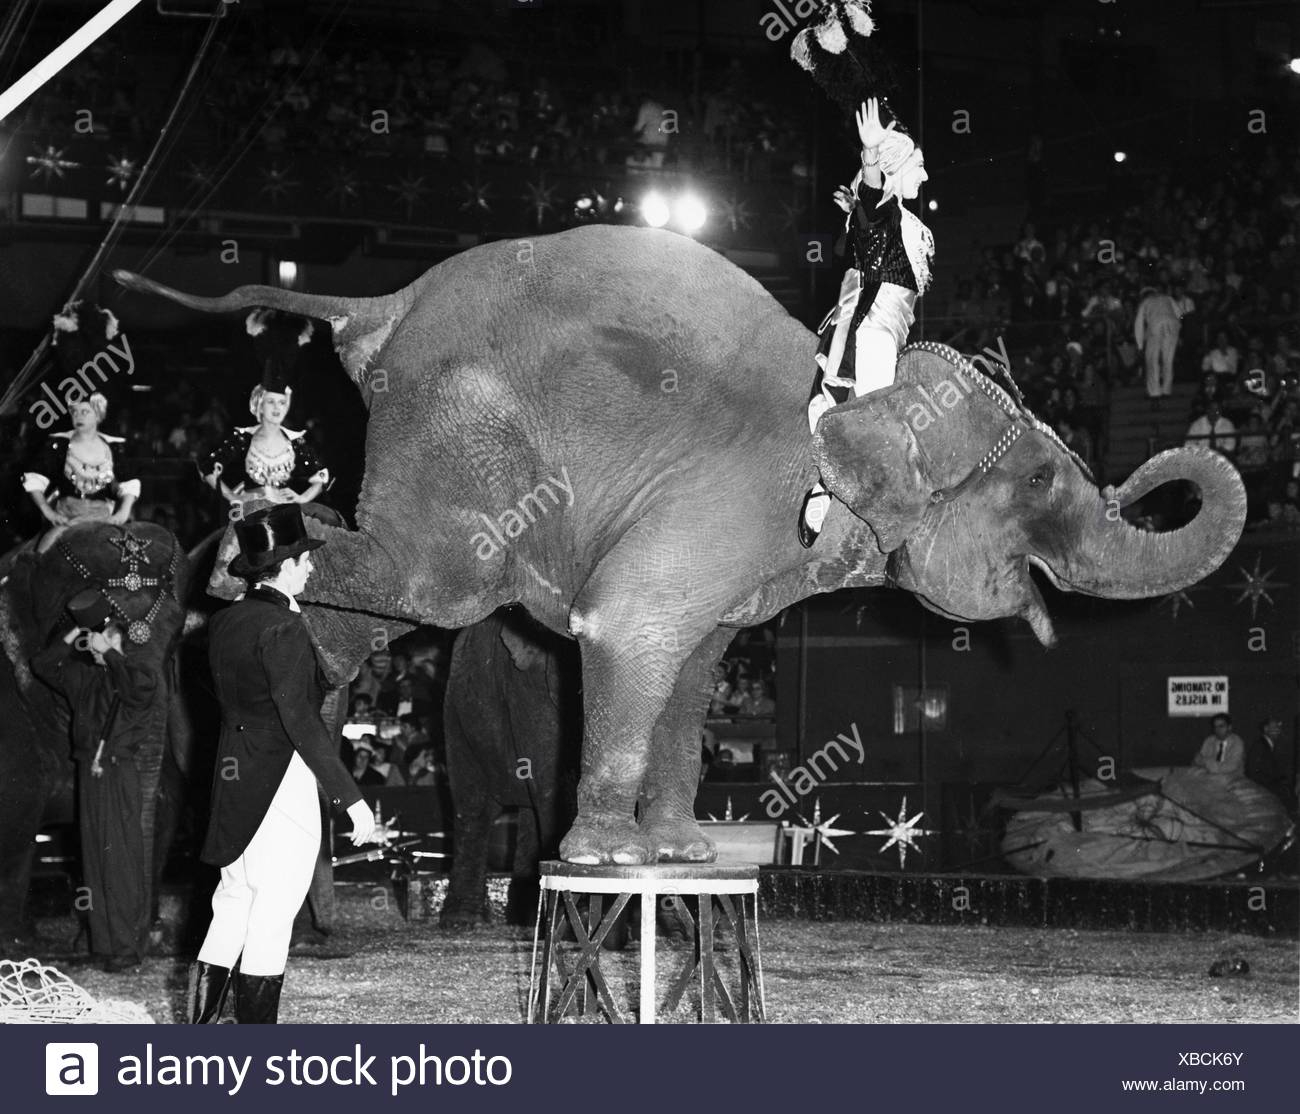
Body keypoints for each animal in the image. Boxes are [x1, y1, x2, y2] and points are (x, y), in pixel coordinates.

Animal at [114, 224, 1246, 866]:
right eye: (1043, 481)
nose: (1142, 471)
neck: (853, 390)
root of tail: (381, 302)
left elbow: (694, 673)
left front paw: (683, 851)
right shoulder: (724, 505)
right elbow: (629, 631)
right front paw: (609, 862)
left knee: (386, 606)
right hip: (459, 422)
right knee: (443, 586)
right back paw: (230, 565)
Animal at [439, 608, 579, 929]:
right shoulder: (528, 685)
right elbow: (551, 786)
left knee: (528, 813)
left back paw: (522, 918)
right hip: (456, 711)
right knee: (474, 807)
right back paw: (460, 920)